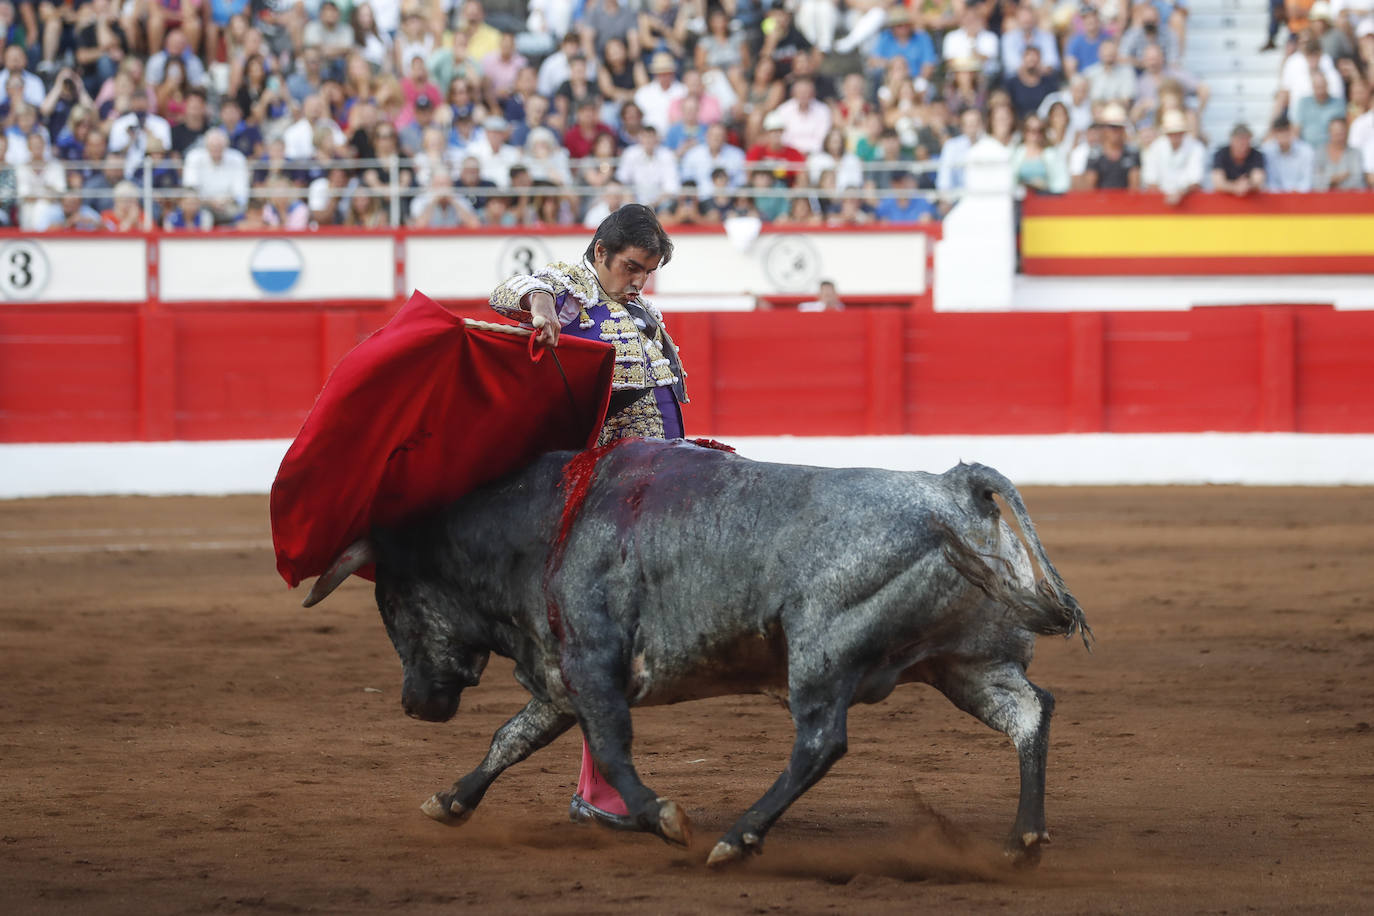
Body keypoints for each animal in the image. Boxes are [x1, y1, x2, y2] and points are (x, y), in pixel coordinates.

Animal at [306, 436, 1088, 867]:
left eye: (391, 603)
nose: (415, 703)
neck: (537, 529)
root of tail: (955, 490)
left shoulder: (590, 663)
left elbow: (610, 748)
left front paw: (662, 818)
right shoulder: (561, 672)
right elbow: (511, 738)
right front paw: (451, 801)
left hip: (822, 652)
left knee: (820, 743)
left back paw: (736, 839)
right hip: (965, 663)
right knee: (1029, 714)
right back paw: (1022, 841)